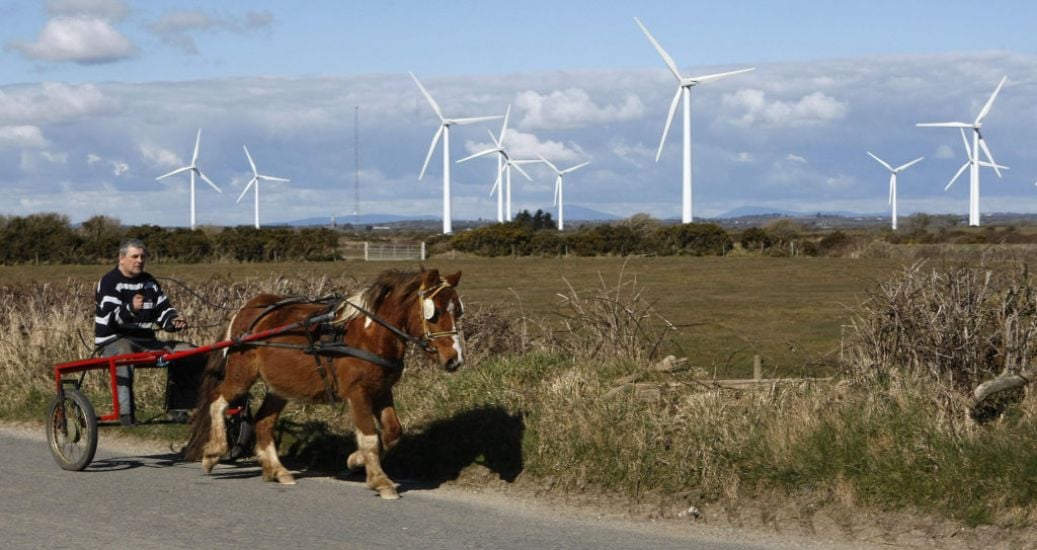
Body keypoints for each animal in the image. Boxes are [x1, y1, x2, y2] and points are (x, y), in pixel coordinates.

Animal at [184, 265, 464, 496]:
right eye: (434, 312)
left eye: (457, 311)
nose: (455, 359)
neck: (369, 334)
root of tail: (249, 308)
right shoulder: (357, 393)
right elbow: (370, 436)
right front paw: (380, 480)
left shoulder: (382, 391)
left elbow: (393, 431)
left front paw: (355, 460)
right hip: (242, 374)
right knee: (218, 401)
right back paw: (214, 451)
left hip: (280, 386)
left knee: (263, 421)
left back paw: (276, 470)